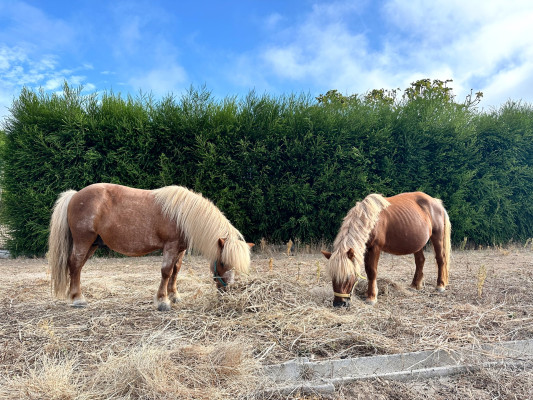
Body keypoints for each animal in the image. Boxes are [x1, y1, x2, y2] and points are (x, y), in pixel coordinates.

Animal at [47, 183, 251, 310]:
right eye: (223, 263)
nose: (226, 292)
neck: (182, 214)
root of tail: (75, 195)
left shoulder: (180, 250)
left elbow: (176, 271)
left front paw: (174, 296)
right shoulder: (170, 247)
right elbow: (166, 272)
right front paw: (163, 301)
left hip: (93, 244)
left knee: (77, 268)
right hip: (84, 241)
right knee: (74, 264)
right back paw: (77, 299)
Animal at [320, 192, 448, 308]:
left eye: (348, 276)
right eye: (332, 276)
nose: (338, 304)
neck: (371, 220)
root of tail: (436, 202)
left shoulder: (375, 248)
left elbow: (372, 271)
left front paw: (371, 297)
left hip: (437, 236)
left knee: (440, 259)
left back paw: (440, 285)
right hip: (417, 243)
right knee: (420, 261)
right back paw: (415, 285)